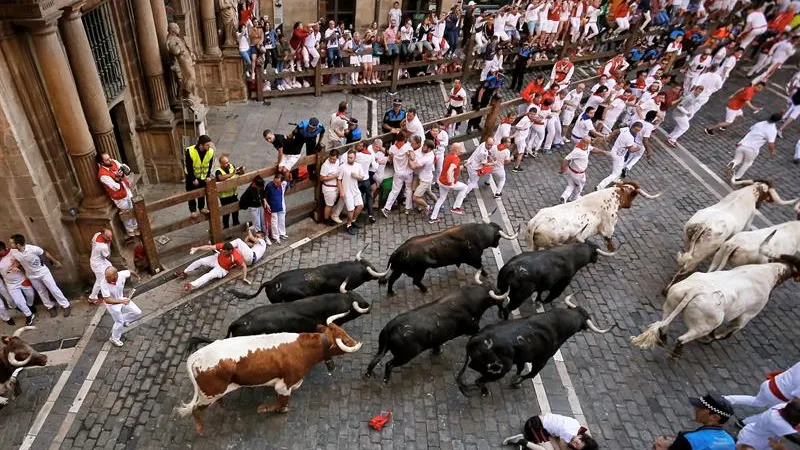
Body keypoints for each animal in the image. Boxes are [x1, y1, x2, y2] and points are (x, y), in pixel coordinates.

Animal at [177, 314, 362, 434]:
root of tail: (198, 355)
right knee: (195, 409)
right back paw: (200, 429)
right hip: (208, 395)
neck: (303, 348)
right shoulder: (285, 385)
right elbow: (280, 403)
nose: (355, 342)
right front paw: (267, 409)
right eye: (345, 340)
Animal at [520, 181, 660, 251]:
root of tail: (535, 222)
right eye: (633, 195)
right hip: (551, 244)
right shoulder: (609, 226)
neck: (612, 196)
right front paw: (612, 248)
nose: (630, 205)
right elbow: (609, 237)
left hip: (534, 246)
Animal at [632, 255, 800, 360]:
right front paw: (712, 338)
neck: (771, 272)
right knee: (682, 338)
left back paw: (663, 340)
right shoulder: (746, 317)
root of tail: (696, 289)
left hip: (671, 303)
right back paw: (676, 355)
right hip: (702, 326)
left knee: (663, 326)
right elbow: (729, 332)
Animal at [664, 179, 796, 288]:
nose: (759, 205)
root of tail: (704, 225)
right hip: (699, 254)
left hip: (688, 242)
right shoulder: (748, 223)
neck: (750, 192)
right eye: (766, 195)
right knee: (686, 268)